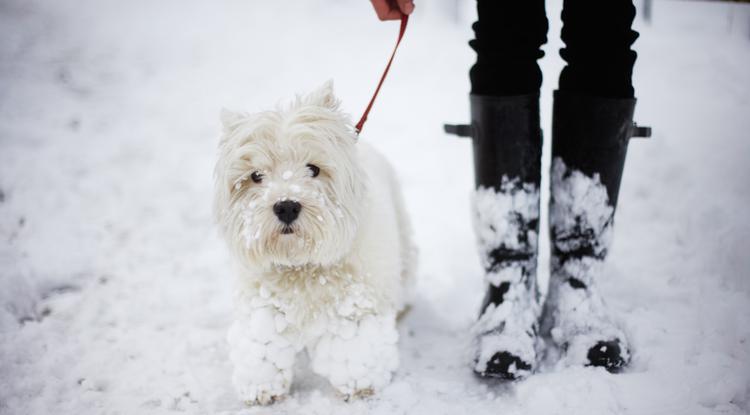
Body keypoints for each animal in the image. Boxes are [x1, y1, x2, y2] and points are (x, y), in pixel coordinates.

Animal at [214, 81, 420, 406]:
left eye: (313, 168)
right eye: (256, 175)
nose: (286, 206)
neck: (301, 265)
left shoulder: (354, 305)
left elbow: (355, 349)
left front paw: (359, 385)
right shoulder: (262, 304)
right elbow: (262, 347)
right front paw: (260, 388)